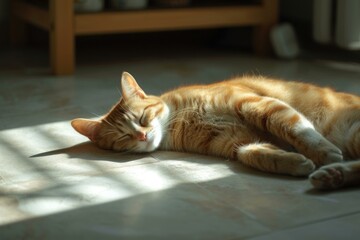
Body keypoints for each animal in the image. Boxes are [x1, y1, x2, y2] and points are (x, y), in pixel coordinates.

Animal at [71, 72, 360, 190]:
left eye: (142, 118)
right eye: (123, 136)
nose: (142, 136)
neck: (180, 121)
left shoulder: (255, 104)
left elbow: (296, 127)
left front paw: (323, 151)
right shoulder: (237, 142)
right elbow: (253, 153)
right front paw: (296, 162)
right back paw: (332, 176)